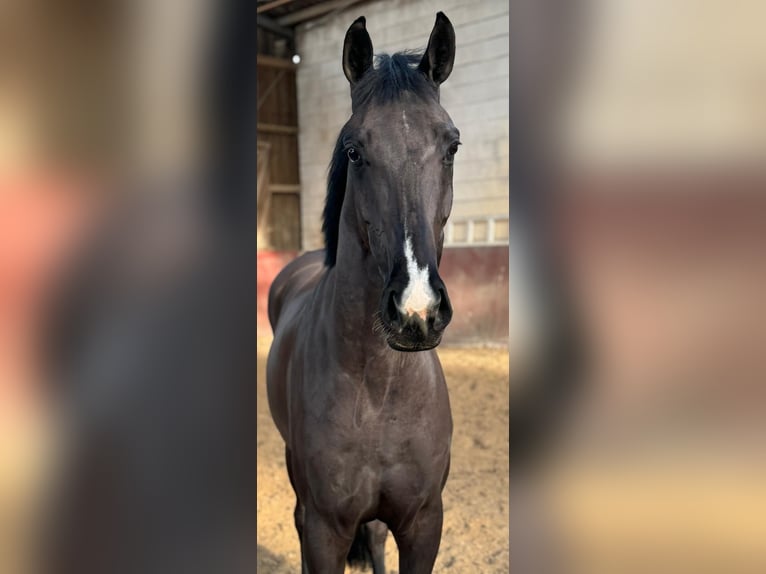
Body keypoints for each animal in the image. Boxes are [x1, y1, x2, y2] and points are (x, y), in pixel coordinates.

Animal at [270, 13, 460, 574]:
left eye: (452, 146)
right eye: (355, 150)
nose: (416, 311)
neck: (380, 392)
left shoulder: (424, 523)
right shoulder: (324, 530)